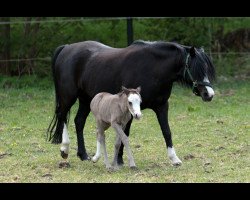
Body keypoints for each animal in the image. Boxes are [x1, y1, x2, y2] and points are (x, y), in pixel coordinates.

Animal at [47, 40, 215, 166]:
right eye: (195, 68)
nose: (209, 94)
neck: (153, 68)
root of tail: (67, 48)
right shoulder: (129, 109)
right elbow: (124, 133)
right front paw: (120, 160)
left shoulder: (161, 106)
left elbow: (166, 131)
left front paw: (174, 159)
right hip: (68, 96)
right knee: (62, 117)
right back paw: (65, 149)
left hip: (86, 99)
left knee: (79, 121)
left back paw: (83, 155)